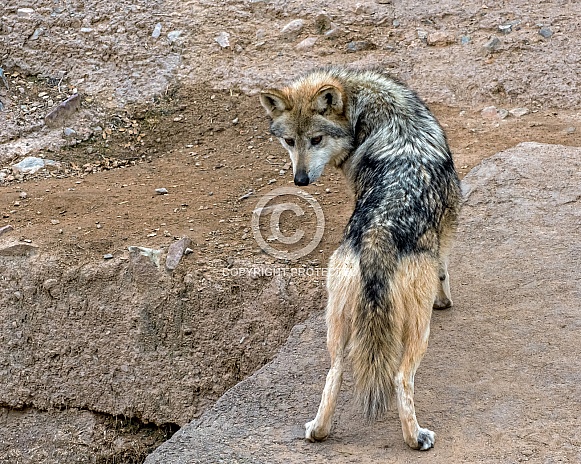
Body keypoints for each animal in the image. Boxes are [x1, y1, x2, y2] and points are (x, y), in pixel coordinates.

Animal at [260, 67, 460, 452]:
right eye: (290, 141)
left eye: (316, 139)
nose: (300, 180)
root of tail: (377, 238)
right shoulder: (448, 225)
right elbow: (444, 271)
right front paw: (445, 301)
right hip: (417, 332)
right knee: (400, 378)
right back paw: (416, 438)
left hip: (337, 327)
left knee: (335, 372)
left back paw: (318, 431)